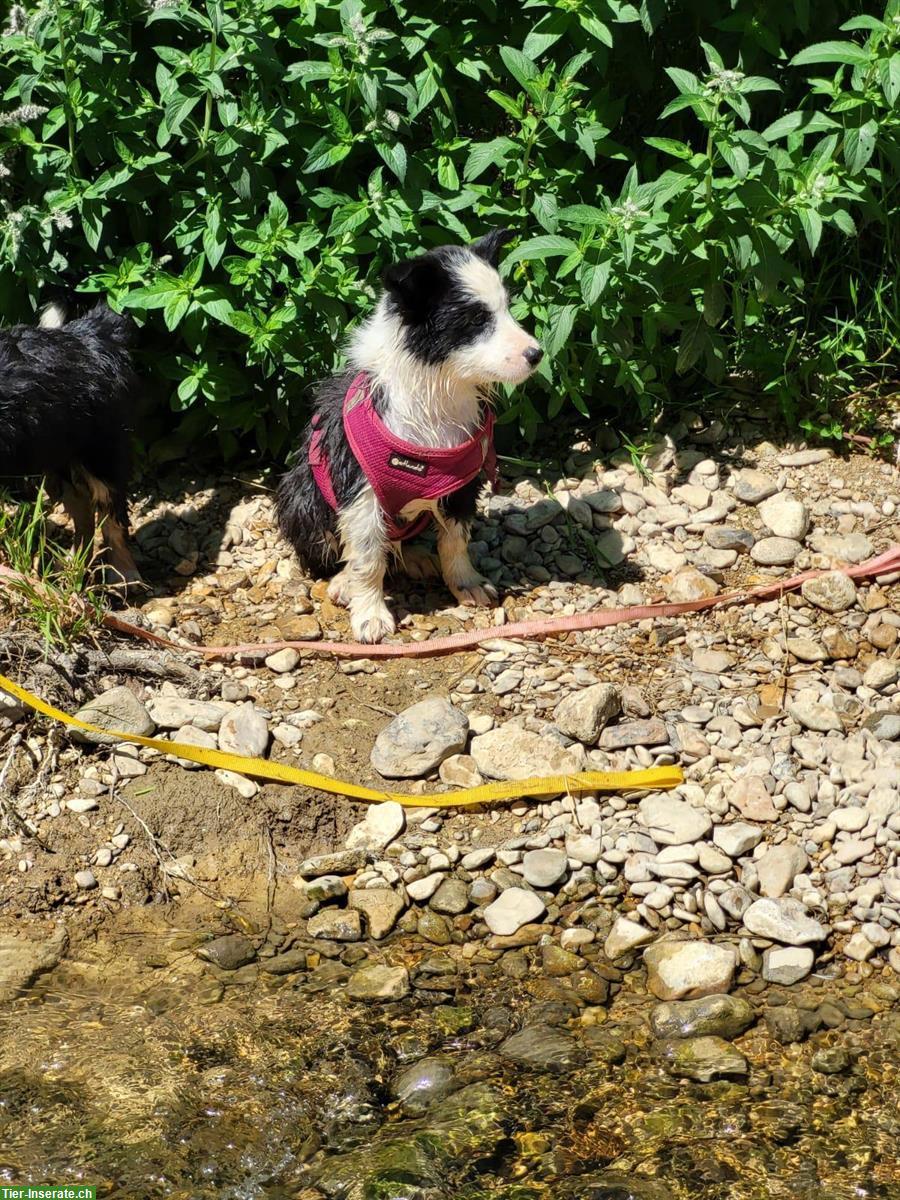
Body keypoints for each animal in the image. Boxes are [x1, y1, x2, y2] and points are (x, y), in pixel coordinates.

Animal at [0, 302, 141, 588]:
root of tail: (89, 333)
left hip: (103, 446)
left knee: (111, 510)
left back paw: (123, 574)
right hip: (53, 452)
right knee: (81, 505)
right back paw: (72, 567)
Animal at [274, 229, 542, 643]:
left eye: (506, 310)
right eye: (475, 319)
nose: (536, 354)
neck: (436, 391)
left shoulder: (461, 482)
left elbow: (455, 540)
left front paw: (466, 583)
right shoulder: (361, 493)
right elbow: (367, 558)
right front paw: (370, 613)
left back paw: (414, 556)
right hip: (302, 497)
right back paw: (343, 581)